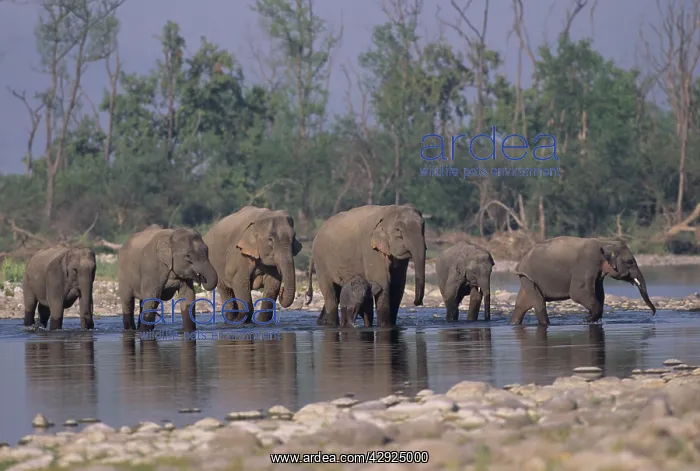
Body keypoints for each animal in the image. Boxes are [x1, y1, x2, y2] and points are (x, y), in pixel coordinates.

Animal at [509, 236, 656, 326]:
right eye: (630, 262)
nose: (651, 313)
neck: (605, 242)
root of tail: (520, 262)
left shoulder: (597, 274)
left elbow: (599, 294)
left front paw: (590, 319)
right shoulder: (586, 265)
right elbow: (578, 293)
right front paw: (586, 319)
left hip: (527, 279)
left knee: (521, 304)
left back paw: (514, 323)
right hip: (530, 278)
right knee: (539, 303)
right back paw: (546, 324)